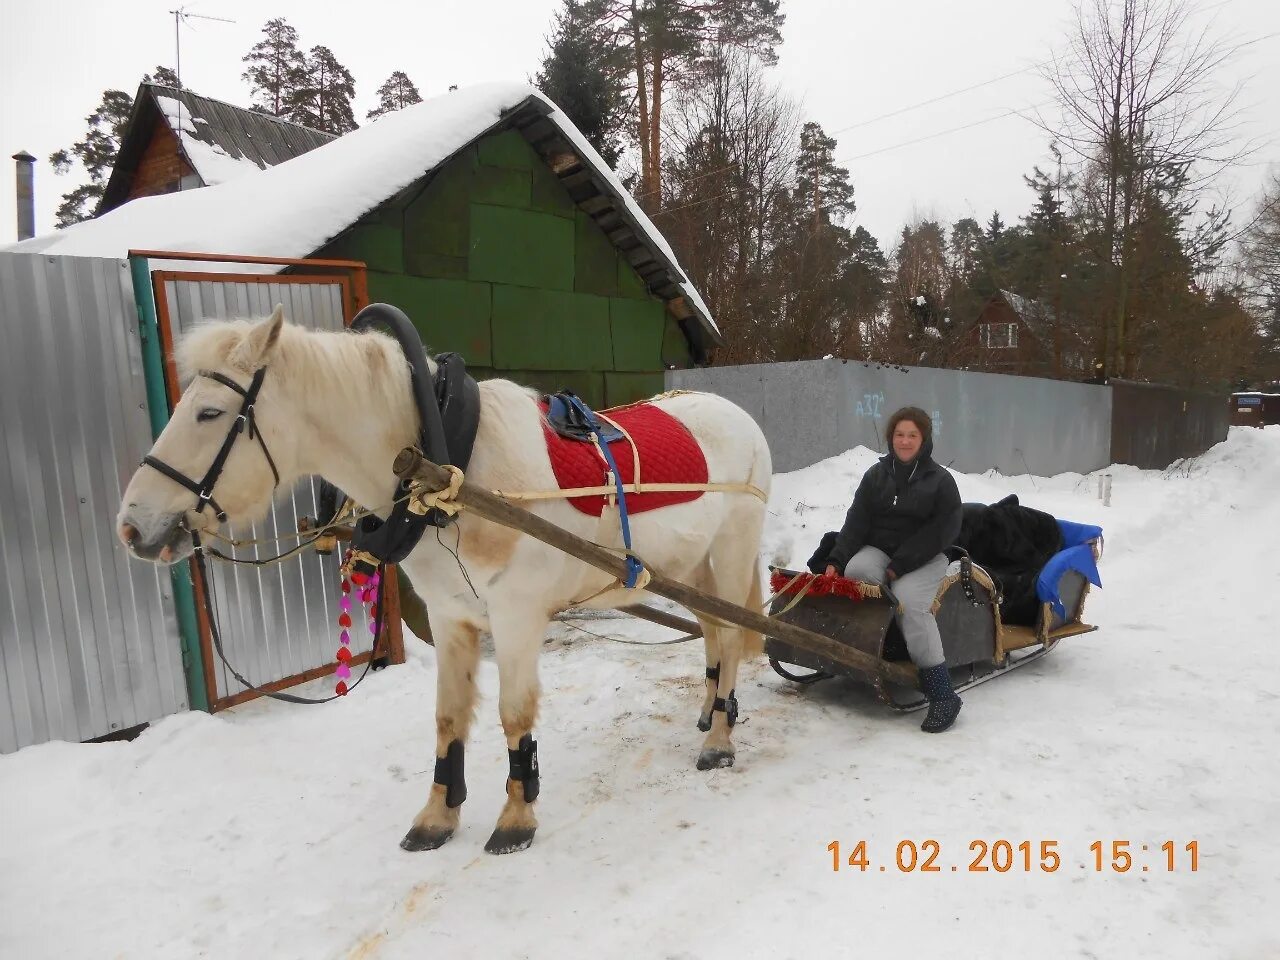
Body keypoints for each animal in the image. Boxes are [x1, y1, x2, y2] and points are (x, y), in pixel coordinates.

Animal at [117, 304, 768, 855]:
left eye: (208, 412)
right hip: (690, 566)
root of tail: (735, 412)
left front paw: (516, 817)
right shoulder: (450, 616)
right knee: (714, 629)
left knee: (733, 633)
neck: (450, 470)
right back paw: (711, 711)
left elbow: (514, 713)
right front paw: (437, 817)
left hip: (733, 549)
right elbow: (448, 718)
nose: (132, 527)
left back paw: (718, 739)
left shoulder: (516, 617)